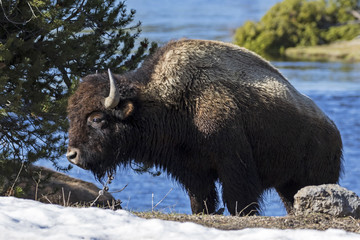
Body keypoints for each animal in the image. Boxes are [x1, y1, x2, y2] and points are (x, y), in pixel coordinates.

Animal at [66, 39, 342, 216]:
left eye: (97, 119)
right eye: (72, 115)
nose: (72, 155)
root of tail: (333, 130)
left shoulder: (234, 166)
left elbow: (238, 201)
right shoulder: (192, 171)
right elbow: (201, 201)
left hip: (315, 178)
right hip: (287, 185)